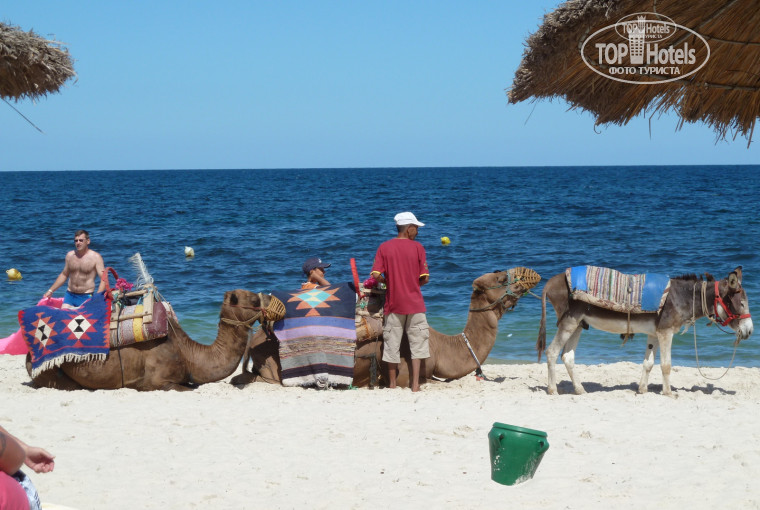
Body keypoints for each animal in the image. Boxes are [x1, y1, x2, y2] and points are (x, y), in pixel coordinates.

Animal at [230, 268, 540, 389]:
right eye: (500, 277)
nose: (530, 275)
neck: (440, 346)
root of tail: (255, 336)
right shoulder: (408, 372)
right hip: (271, 367)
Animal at [537, 266, 753, 396]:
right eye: (742, 303)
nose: (750, 331)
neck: (681, 297)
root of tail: (551, 281)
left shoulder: (654, 333)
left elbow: (648, 363)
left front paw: (642, 389)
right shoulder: (666, 332)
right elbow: (666, 365)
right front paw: (668, 393)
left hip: (578, 324)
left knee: (567, 357)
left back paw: (580, 390)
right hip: (569, 322)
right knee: (552, 352)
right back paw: (552, 390)